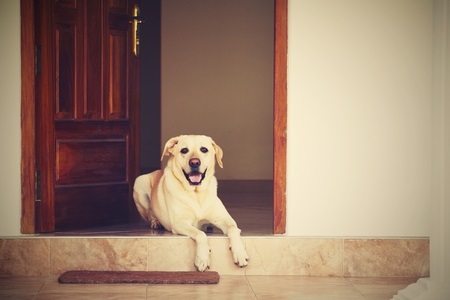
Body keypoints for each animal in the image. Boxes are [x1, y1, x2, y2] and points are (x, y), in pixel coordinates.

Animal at [132, 135, 250, 270]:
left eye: (204, 149)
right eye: (184, 150)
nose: (194, 162)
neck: (196, 193)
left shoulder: (226, 219)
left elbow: (233, 230)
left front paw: (240, 253)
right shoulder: (180, 223)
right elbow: (200, 234)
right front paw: (202, 258)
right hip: (139, 183)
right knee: (150, 213)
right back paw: (156, 222)